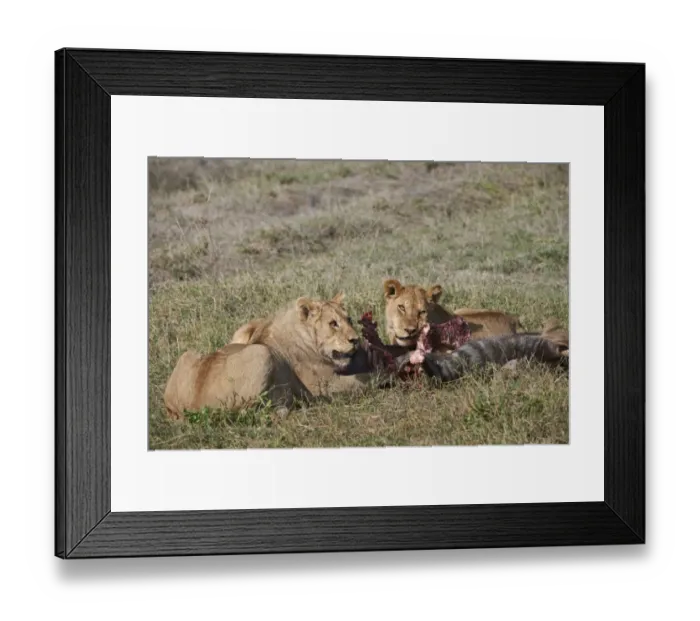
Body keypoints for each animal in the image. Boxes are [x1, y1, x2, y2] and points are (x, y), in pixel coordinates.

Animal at [164, 293, 377, 421]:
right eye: (333, 323)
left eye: (349, 320)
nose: (355, 340)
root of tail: (192, 406)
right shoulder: (324, 384)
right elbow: (367, 378)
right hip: (261, 352)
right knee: (247, 412)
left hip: (188, 354)